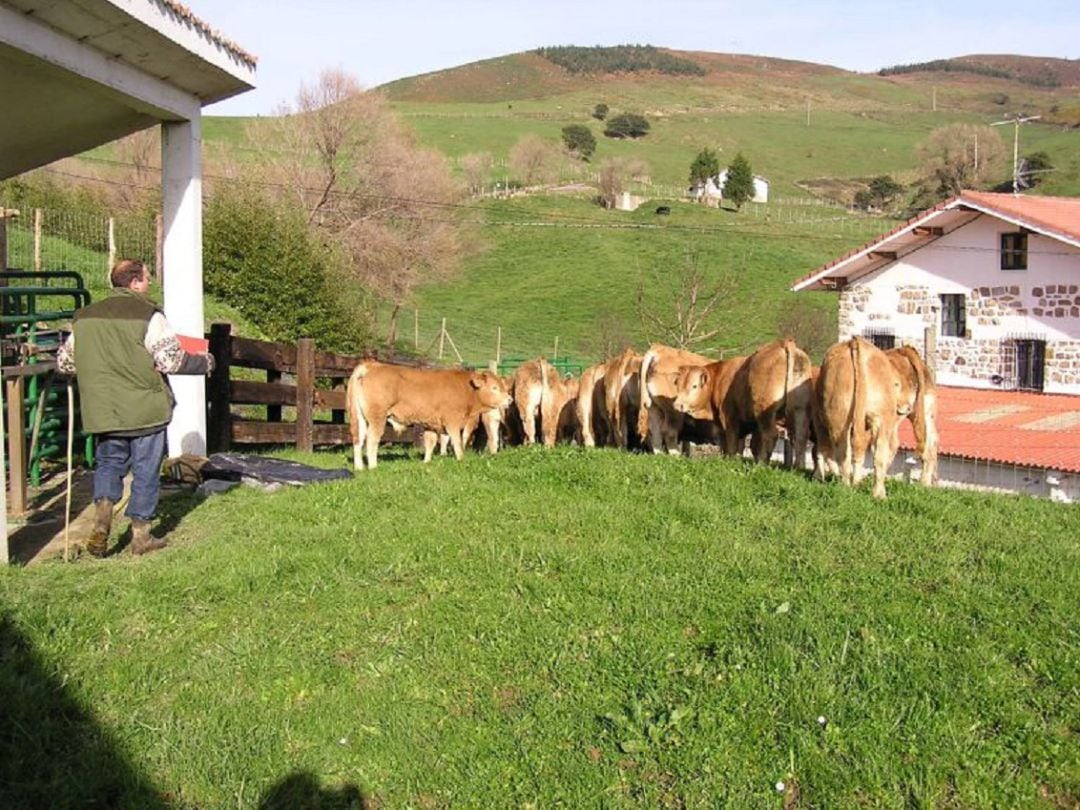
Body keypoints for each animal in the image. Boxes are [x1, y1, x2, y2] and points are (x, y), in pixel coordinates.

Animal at [347, 360, 511, 468]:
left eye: (503, 387)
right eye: (494, 388)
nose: (509, 399)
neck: (466, 389)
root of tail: (370, 365)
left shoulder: (430, 424)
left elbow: (430, 443)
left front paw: (426, 462)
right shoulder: (452, 421)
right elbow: (457, 441)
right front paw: (460, 459)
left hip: (360, 418)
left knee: (358, 438)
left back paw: (359, 467)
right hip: (377, 417)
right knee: (371, 439)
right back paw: (373, 466)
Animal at [669, 336, 812, 466]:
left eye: (694, 386)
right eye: (678, 384)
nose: (677, 405)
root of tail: (783, 343)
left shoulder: (729, 419)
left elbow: (731, 444)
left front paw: (729, 462)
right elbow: (749, 445)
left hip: (765, 410)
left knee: (771, 434)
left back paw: (761, 464)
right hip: (799, 410)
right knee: (800, 436)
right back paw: (797, 468)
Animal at [816, 336, 937, 501]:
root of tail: (855, 342)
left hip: (838, 417)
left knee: (843, 452)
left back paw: (846, 487)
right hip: (881, 419)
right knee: (880, 454)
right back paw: (879, 494)